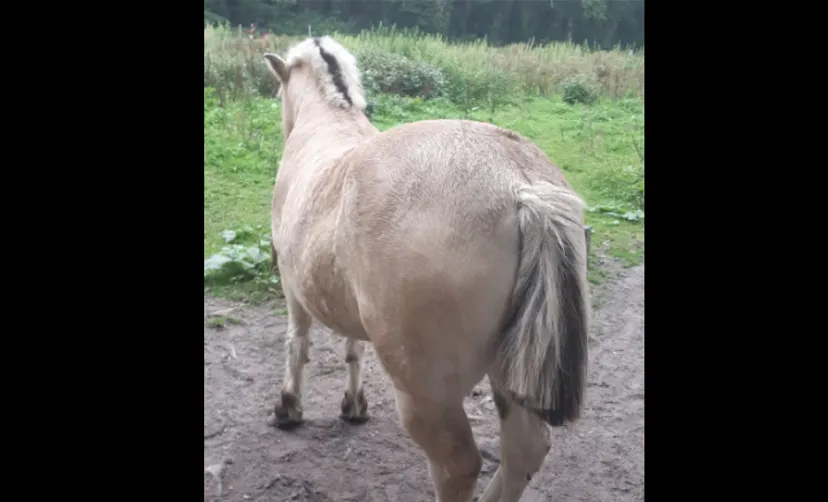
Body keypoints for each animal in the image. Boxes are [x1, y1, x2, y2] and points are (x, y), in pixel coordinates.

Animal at [263, 36, 590, 502]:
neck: (330, 124)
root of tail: (519, 183)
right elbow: (352, 348)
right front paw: (353, 405)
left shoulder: (294, 288)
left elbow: (297, 342)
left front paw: (288, 407)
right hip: (511, 371)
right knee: (524, 451)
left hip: (427, 395)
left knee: (459, 464)